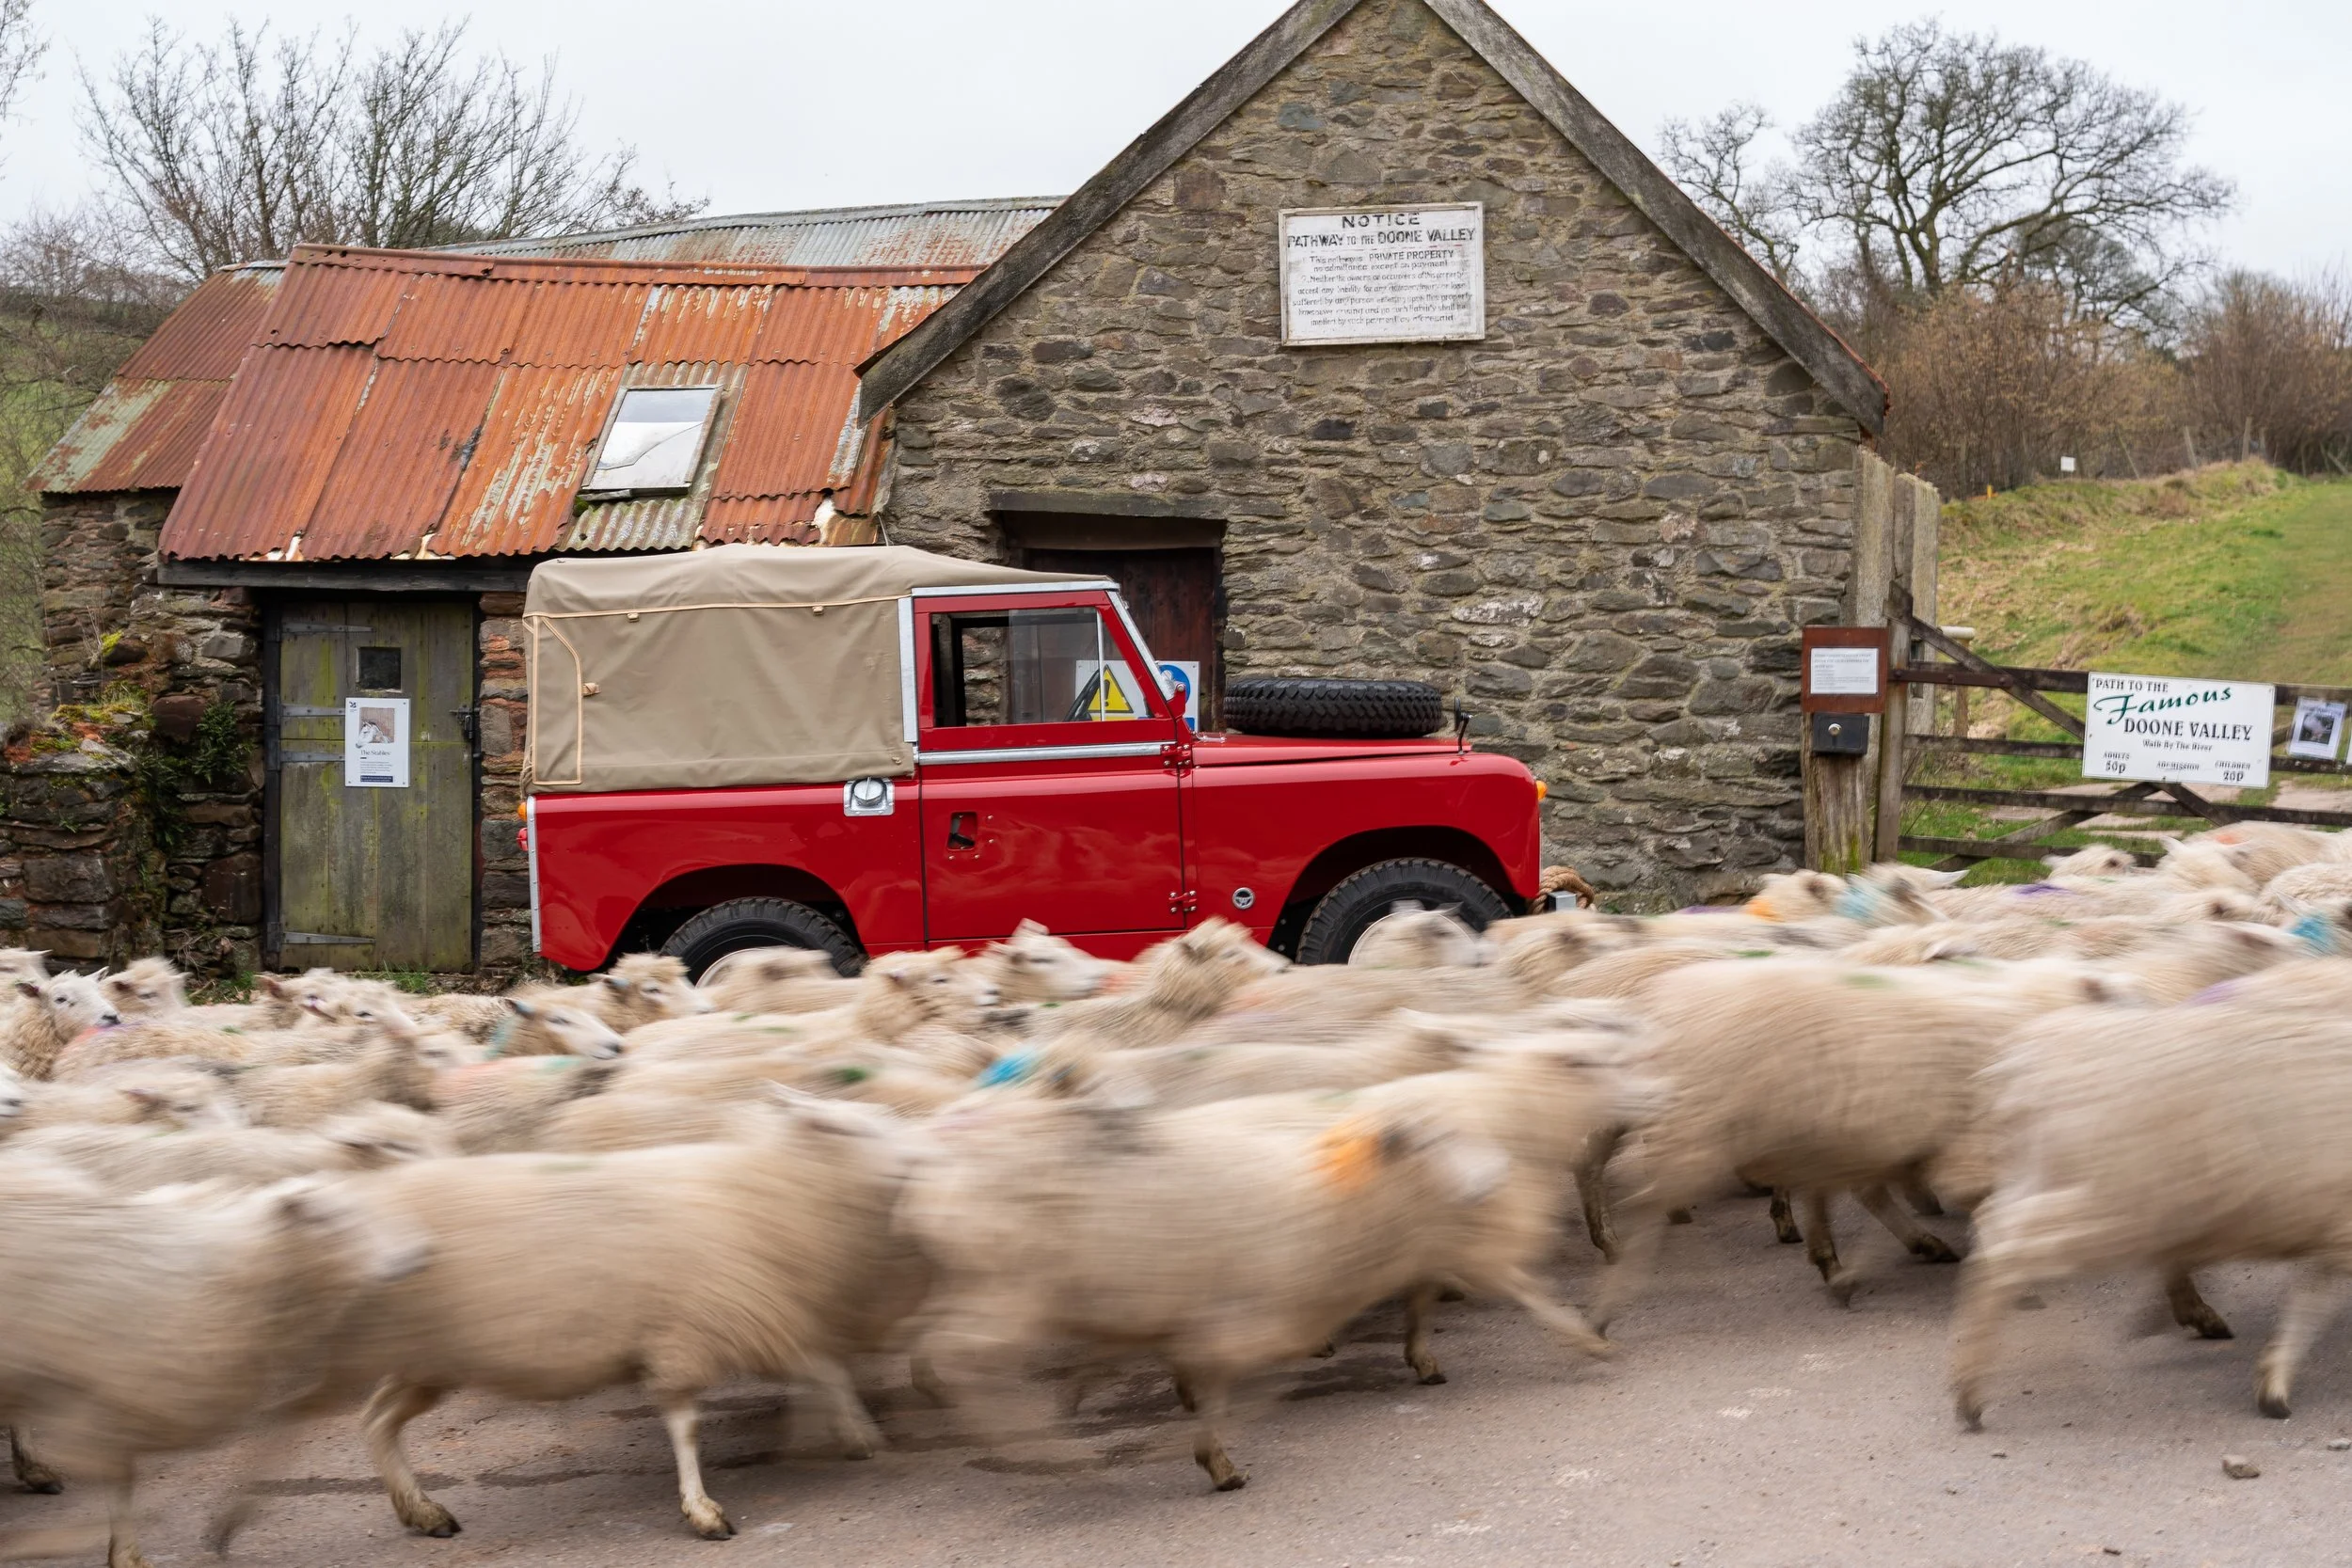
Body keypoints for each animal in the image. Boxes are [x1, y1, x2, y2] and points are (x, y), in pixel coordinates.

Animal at [274, 1091, 932, 1544]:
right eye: (850, 1127)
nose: (920, 1159)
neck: (768, 1192)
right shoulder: (693, 1331)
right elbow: (689, 1424)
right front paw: (703, 1511)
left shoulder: (767, 1316)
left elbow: (825, 1371)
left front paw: (855, 1433)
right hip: (427, 1352)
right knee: (377, 1420)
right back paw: (417, 1506)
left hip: (425, 1357)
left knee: (377, 1418)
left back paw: (421, 1511)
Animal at [899, 1087, 1519, 1491]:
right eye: (1430, 1139)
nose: (1491, 1182)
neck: (1328, 1202)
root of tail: (936, 1146)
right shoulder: (1232, 1323)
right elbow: (1215, 1393)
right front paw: (1218, 1463)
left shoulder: (1184, 1309)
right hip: (1008, 1291)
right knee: (959, 1357)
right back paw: (1034, 1442)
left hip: (976, 1279)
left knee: (932, 1336)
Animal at [1951, 1000, 2352, 1429]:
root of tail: (2022, 1064)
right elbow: (2313, 1304)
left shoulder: (2333, 1233)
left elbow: (2310, 1301)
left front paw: (2272, 1384)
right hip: (2113, 1206)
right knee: (2008, 1251)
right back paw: (1969, 1393)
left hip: (2047, 1180)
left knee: (1993, 1226)